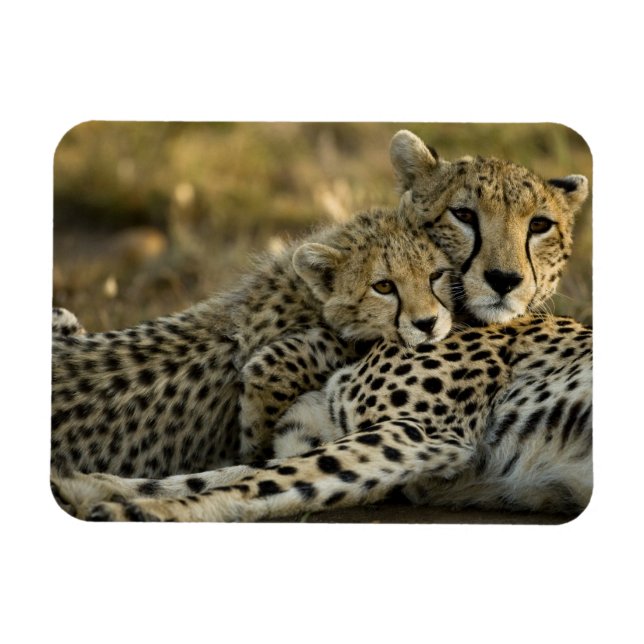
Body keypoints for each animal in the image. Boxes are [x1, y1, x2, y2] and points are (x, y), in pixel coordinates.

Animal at [52, 205, 453, 478]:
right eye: (383, 286)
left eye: (436, 274)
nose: (427, 323)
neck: (304, 293)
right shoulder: (280, 360)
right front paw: (254, 453)